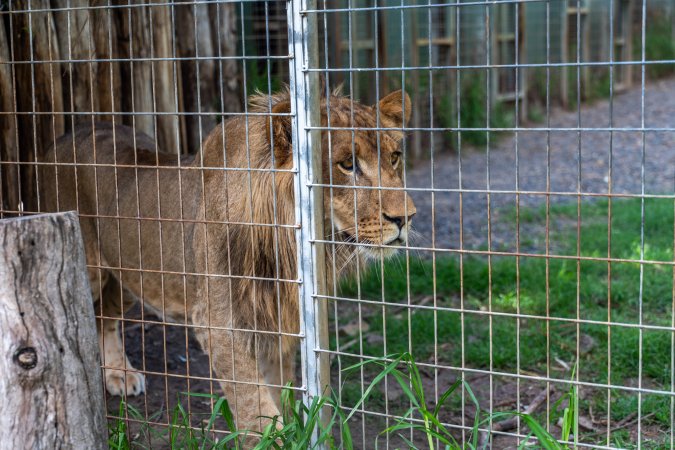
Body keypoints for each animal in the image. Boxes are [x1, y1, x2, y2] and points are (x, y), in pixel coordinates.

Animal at [39, 87, 416, 433]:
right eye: (347, 164)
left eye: (395, 157)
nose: (406, 217)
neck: (288, 243)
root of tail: (66, 134)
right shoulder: (219, 322)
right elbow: (257, 409)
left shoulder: (277, 314)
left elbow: (279, 390)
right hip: (88, 270)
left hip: (131, 274)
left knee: (105, 316)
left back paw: (119, 374)